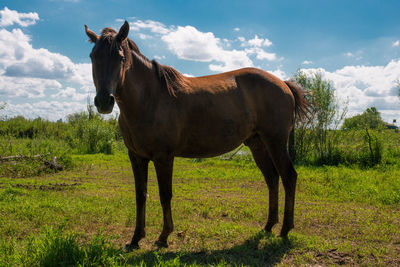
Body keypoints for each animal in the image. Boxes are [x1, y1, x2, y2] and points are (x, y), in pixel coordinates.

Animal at [84, 21, 310, 251]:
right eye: (93, 56)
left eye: (120, 57)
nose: (104, 101)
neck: (150, 99)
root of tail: (283, 83)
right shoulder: (136, 157)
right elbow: (141, 194)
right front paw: (136, 238)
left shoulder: (163, 157)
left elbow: (165, 194)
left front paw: (163, 236)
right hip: (258, 144)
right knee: (272, 179)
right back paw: (268, 225)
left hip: (276, 142)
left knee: (288, 177)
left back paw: (285, 229)